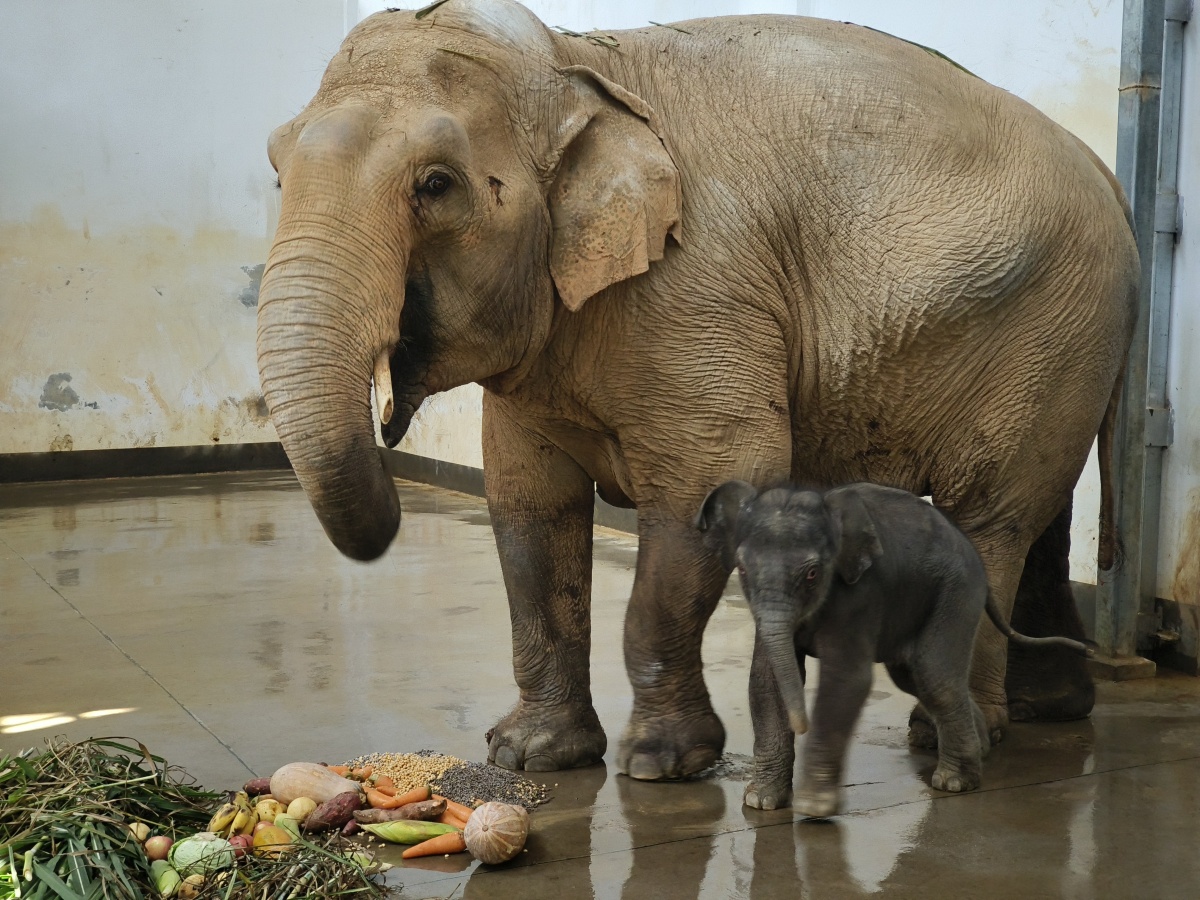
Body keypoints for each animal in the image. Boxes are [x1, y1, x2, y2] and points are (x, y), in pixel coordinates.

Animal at [255, 0, 1138, 780]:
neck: (577, 63)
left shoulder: (695, 290)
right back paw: (1048, 711)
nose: (390, 419)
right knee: (1041, 516)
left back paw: (948, 732)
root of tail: (1110, 176)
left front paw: (660, 765)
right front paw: (530, 756)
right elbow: (527, 505)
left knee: (992, 517)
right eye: (275, 168)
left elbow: (710, 481)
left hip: (1050, 326)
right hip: (1063, 342)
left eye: (434, 186)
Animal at [695, 480, 1090, 817]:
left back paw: (954, 782)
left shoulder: (861, 594)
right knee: (913, 676)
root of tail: (971, 549)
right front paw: (760, 802)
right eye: (741, 570)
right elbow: (767, 681)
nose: (803, 725)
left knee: (934, 676)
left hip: (957, 592)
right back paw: (979, 753)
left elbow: (847, 681)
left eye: (812, 574)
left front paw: (815, 807)